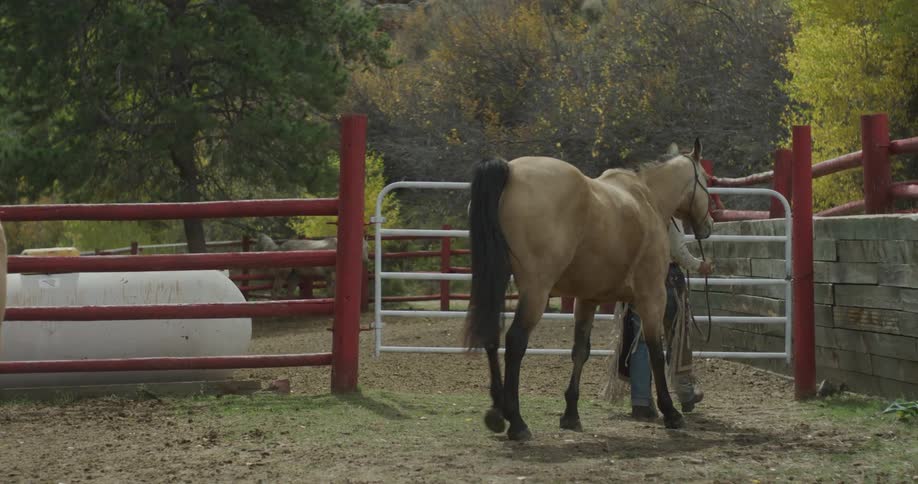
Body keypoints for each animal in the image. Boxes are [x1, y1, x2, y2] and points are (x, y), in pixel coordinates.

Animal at [463, 139, 713, 441]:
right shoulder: (653, 296)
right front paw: (671, 413)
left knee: (491, 335)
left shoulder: (587, 299)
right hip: (535, 291)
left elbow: (580, 351)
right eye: (707, 181)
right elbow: (656, 351)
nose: (709, 225)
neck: (647, 197)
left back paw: (497, 415)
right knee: (515, 342)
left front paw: (571, 414)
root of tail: (509, 170)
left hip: (496, 281)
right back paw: (517, 422)